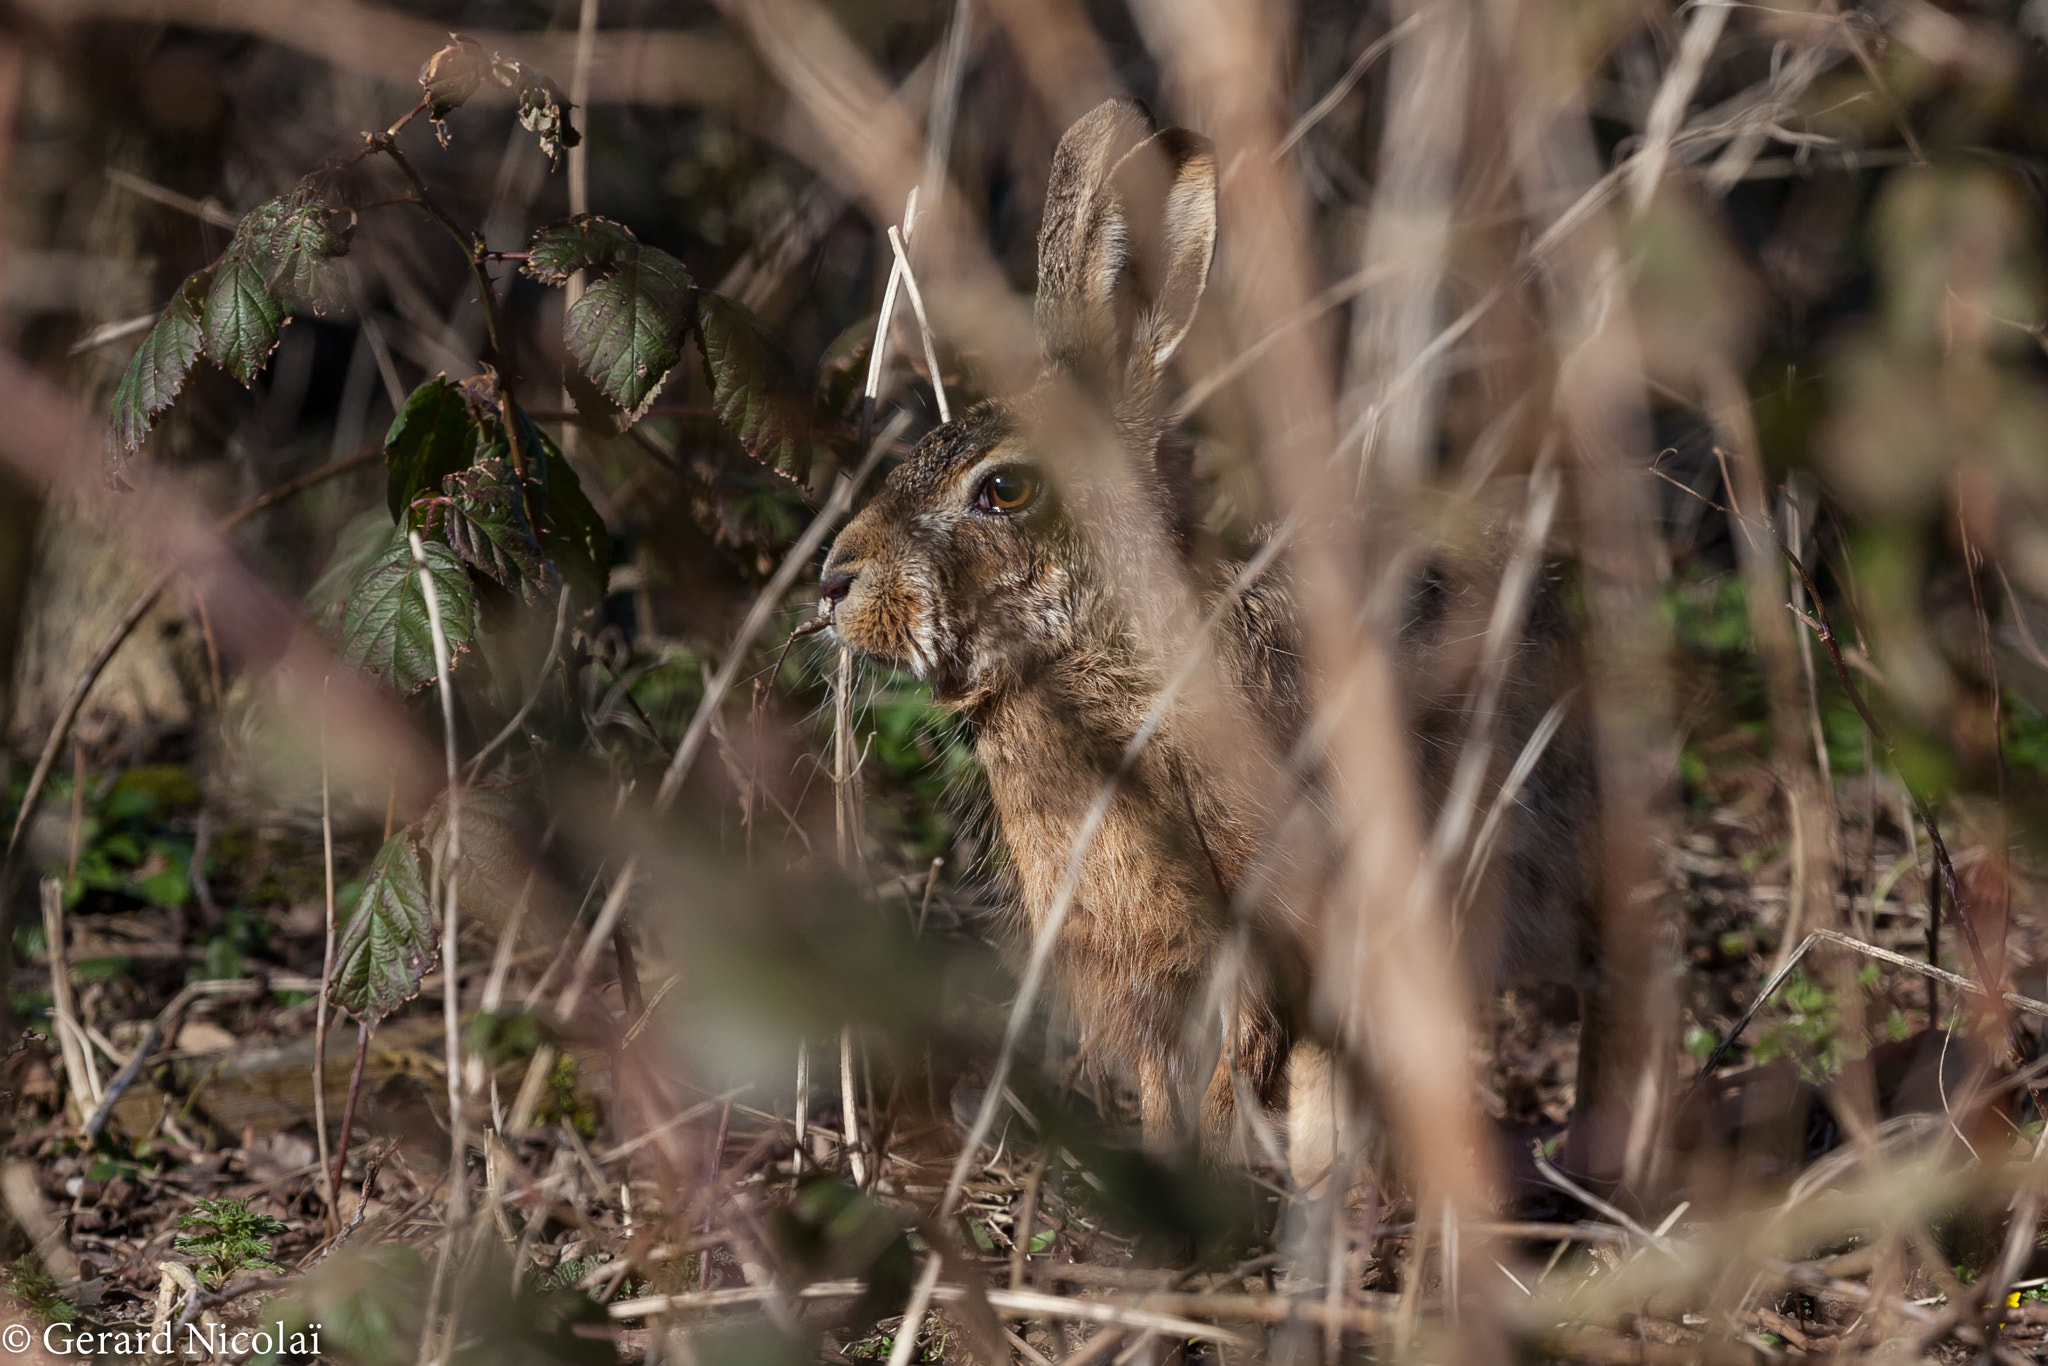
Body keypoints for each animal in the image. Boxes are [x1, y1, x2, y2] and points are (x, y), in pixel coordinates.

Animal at [820, 98, 1631, 1187]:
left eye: (1003, 489)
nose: (834, 581)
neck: (1095, 657)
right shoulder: (1136, 970)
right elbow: (1164, 1082)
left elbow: (1234, 1067)